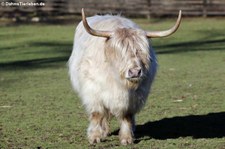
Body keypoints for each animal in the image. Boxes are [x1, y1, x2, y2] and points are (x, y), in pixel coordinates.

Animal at [68, 8, 181, 145]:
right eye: (119, 51)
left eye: (142, 51)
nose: (135, 72)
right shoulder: (93, 92)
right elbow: (97, 114)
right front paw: (95, 136)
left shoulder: (134, 98)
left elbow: (126, 116)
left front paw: (126, 138)